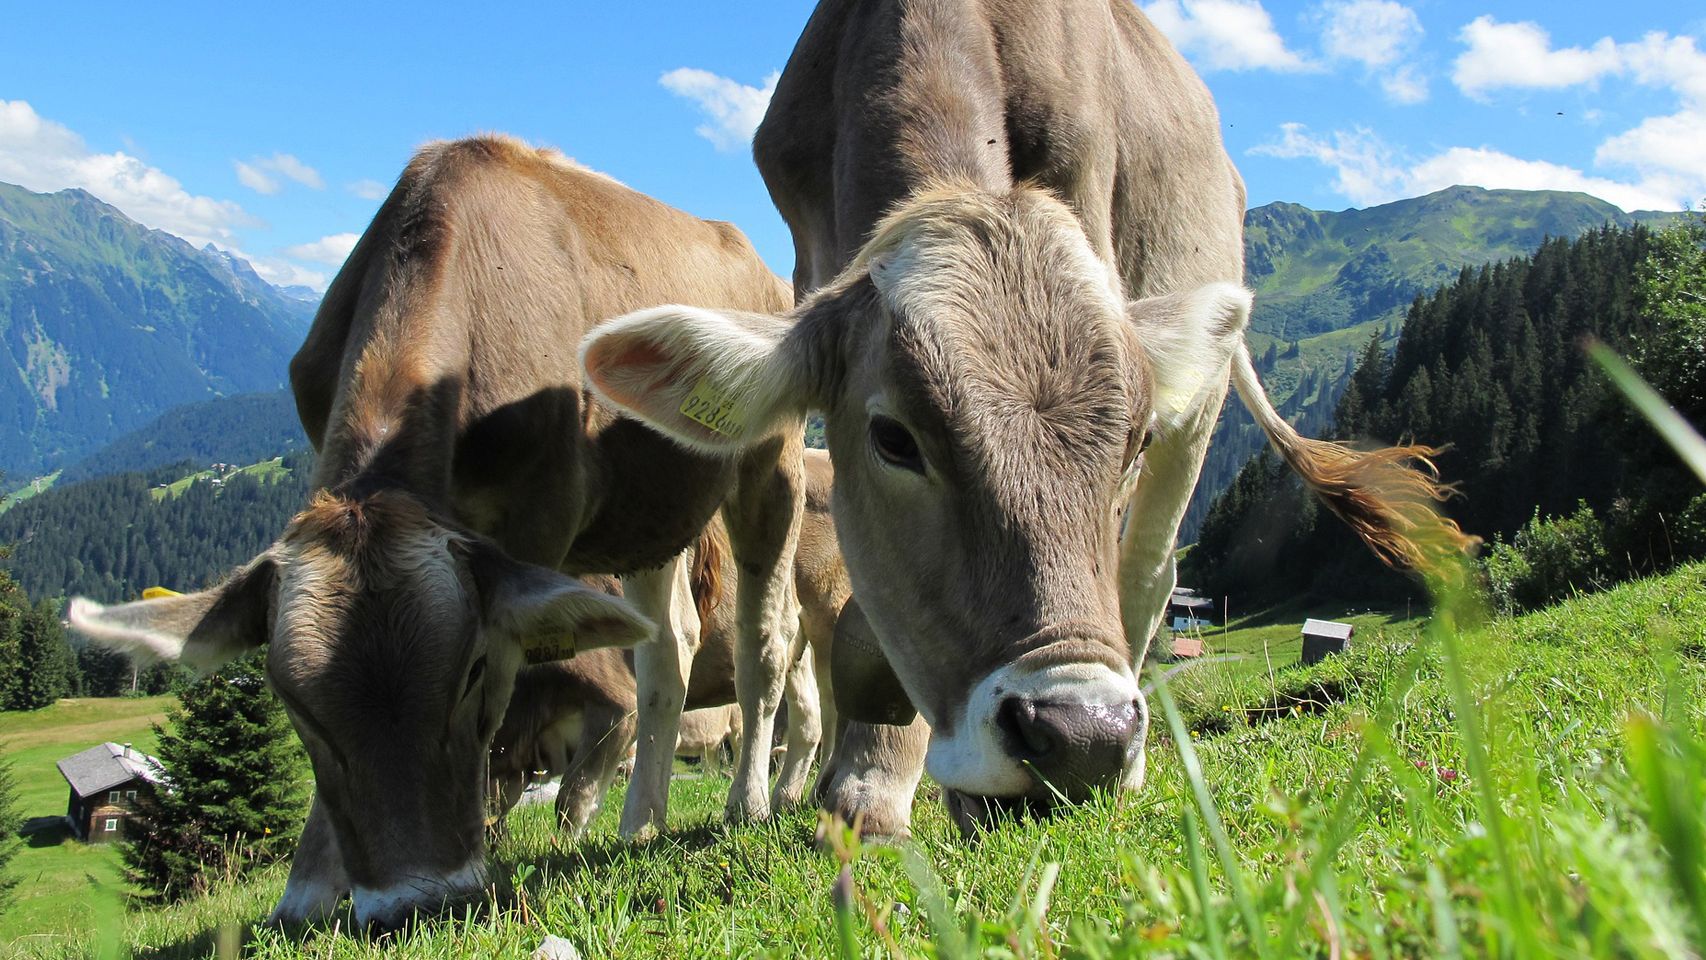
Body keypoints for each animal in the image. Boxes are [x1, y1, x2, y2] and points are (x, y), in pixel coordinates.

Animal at [66, 134, 807, 929]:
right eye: (292, 703)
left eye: (473, 671)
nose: (414, 903)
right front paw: (308, 889)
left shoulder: (536, 524)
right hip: (648, 513)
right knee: (668, 649)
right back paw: (641, 821)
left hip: (772, 462)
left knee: (766, 642)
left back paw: (748, 804)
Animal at [489, 450, 850, 834]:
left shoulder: (616, 703)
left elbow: (572, 796)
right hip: (799, 647)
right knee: (808, 715)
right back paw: (787, 796)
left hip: (828, 613)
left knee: (831, 702)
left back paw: (819, 787)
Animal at [580, 0, 1472, 838]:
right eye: (893, 439)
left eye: (1132, 440)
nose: (1083, 738)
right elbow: (872, 612)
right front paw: (870, 778)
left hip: (1203, 392)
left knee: (1150, 572)